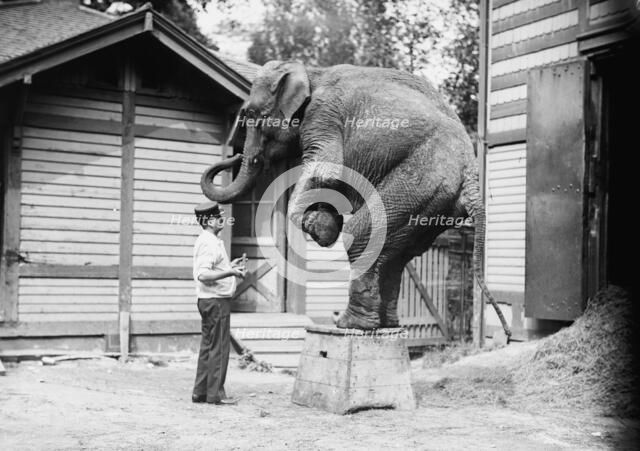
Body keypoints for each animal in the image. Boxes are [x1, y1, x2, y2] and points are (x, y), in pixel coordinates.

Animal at [201, 61, 511, 337]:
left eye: (252, 114)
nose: (236, 155)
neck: (312, 71)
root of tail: (471, 178)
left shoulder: (322, 115)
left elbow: (327, 167)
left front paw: (319, 227)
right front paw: (324, 222)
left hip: (421, 180)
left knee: (361, 236)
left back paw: (349, 324)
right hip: (433, 204)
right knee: (399, 252)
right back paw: (385, 325)